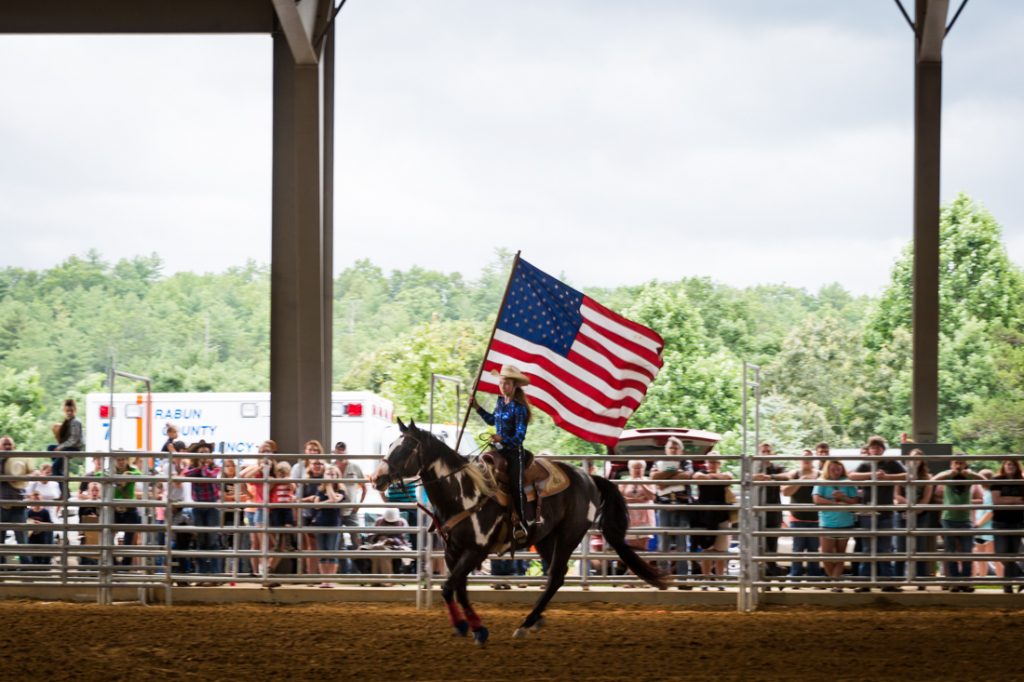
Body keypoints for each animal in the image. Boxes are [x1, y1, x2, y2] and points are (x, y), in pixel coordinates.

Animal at [372, 413, 667, 643]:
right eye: (391, 444)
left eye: (404, 448)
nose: (376, 478)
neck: (464, 492)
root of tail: (589, 478)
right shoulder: (453, 552)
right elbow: (459, 589)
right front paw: (476, 628)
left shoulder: (476, 551)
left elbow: (447, 587)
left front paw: (466, 626)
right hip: (547, 539)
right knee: (556, 577)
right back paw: (535, 620)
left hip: (569, 535)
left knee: (556, 576)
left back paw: (525, 624)